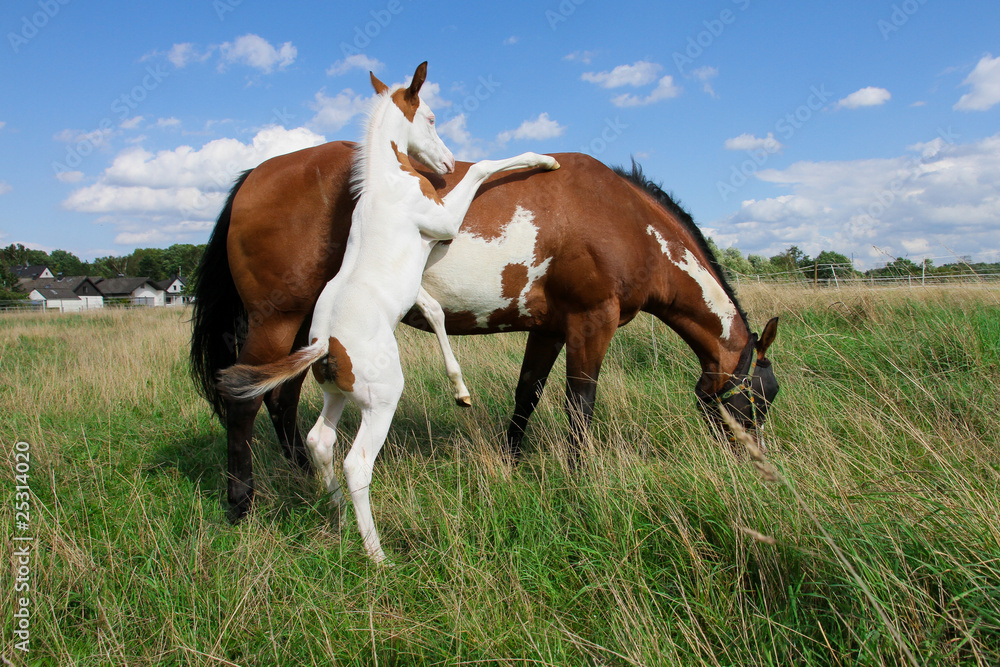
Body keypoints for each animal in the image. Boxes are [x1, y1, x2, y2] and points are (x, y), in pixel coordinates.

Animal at [189, 142, 780, 528]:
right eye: (758, 401)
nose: (755, 464)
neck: (624, 217)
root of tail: (259, 172)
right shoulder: (592, 321)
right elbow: (580, 404)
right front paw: (579, 481)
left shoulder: (550, 328)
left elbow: (529, 394)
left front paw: (514, 463)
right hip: (276, 320)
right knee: (244, 404)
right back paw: (240, 503)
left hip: (308, 333)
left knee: (281, 400)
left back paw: (303, 477)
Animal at [216, 64, 560, 564]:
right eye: (432, 118)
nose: (445, 164)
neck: (387, 181)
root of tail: (325, 346)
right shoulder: (444, 222)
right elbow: (481, 168)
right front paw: (544, 160)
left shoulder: (415, 287)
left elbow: (435, 311)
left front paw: (460, 390)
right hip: (380, 399)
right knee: (355, 463)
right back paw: (376, 554)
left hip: (335, 395)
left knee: (320, 442)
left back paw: (339, 521)